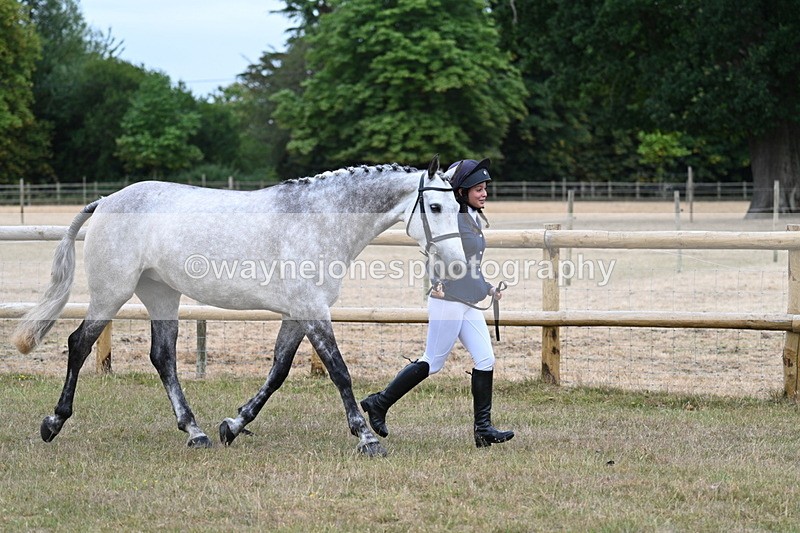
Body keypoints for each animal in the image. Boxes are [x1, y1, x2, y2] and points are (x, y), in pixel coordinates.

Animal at [11, 155, 466, 457]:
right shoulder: (311, 309)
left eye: (460, 206)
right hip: (112, 292)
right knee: (79, 344)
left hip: (161, 294)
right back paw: (53, 423)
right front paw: (367, 438)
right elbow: (339, 371)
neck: (318, 220)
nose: (458, 262)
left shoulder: (298, 313)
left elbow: (278, 370)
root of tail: (105, 201)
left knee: (163, 357)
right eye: (436, 207)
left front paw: (233, 425)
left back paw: (195, 432)